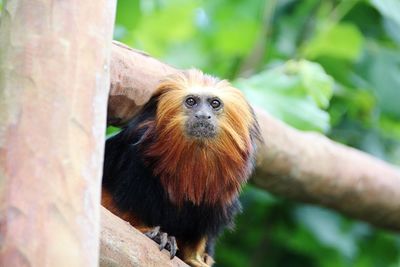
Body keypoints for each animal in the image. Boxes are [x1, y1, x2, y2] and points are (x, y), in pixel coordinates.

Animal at [101, 69, 260, 267]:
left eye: (214, 104)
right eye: (191, 101)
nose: (202, 115)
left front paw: (195, 258)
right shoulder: (130, 165)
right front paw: (152, 232)